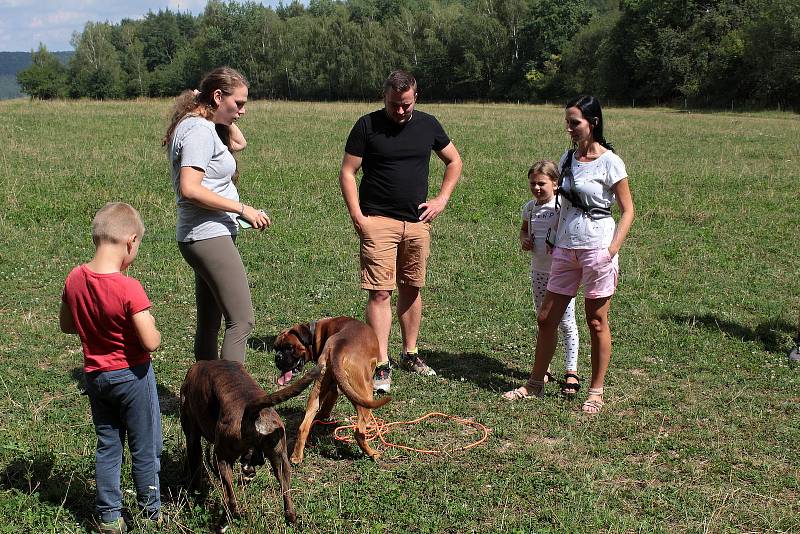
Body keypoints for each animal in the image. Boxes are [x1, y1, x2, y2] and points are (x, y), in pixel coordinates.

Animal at [180, 360, 320, 524]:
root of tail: (252, 410)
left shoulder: (192, 439)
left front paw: (194, 493)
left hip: (222, 459)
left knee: (232, 500)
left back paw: (229, 517)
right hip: (281, 462)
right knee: (286, 495)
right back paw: (290, 516)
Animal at [274, 318, 392, 464]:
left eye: (289, 347)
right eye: (276, 348)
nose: (277, 357)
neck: (318, 332)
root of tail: (338, 347)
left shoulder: (332, 389)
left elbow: (325, 409)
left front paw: (321, 418)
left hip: (317, 390)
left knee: (303, 426)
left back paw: (296, 456)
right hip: (364, 393)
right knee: (359, 431)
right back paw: (372, 453)